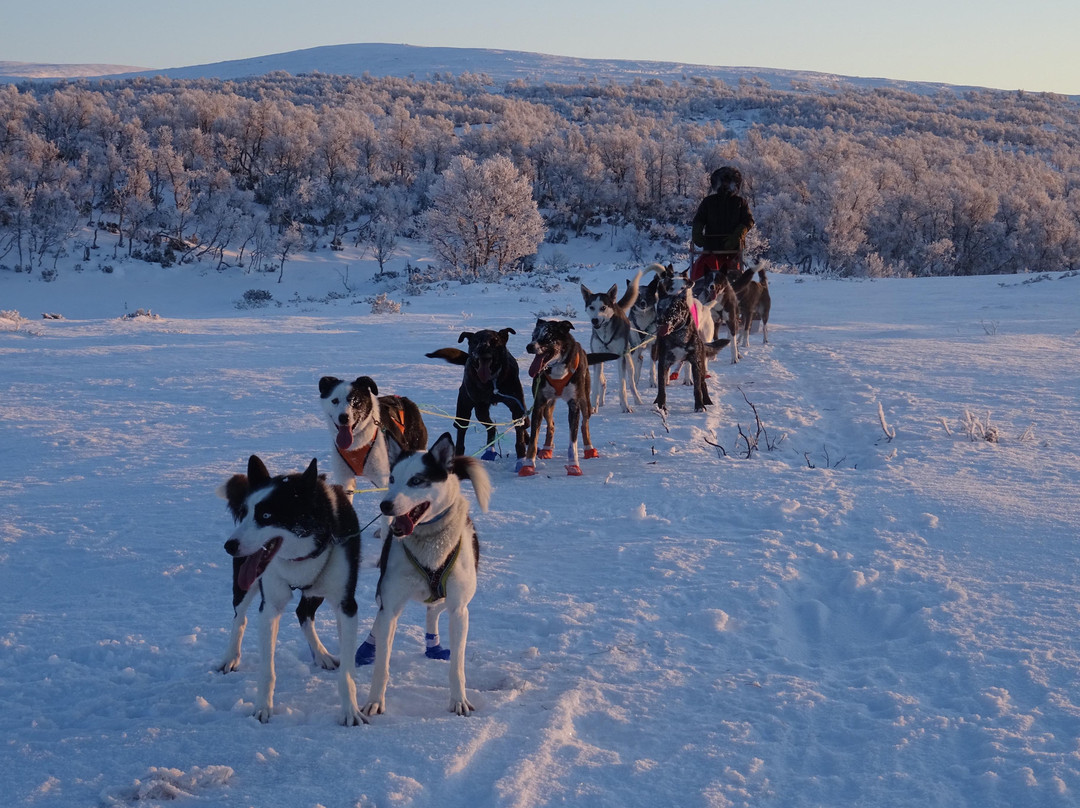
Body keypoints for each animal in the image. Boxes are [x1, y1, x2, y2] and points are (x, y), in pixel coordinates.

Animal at [429, 328, 531, 466]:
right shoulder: (467, 402)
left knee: (503, 425)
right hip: (475, 409)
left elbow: (520, 433)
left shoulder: (516, 405)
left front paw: (521, 459)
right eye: (475, 341)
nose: (482, 349)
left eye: (494, 341)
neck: (491, 382)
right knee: (474, 428)